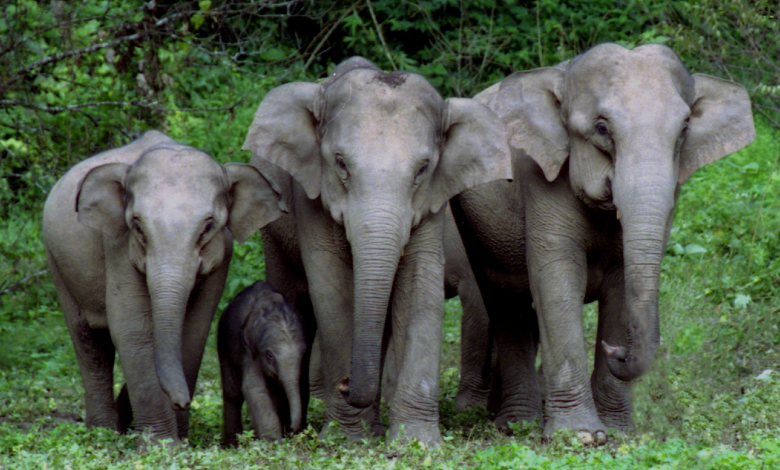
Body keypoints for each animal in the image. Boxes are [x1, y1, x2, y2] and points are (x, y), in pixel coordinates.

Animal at [42, 130, 286, 442]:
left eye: (208, 226)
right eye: (137, 225)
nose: (182, 401)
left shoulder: (222, 256)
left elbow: (193, 331)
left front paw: (178, 439)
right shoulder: (118, 246)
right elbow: (133, 329)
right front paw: (161, 444)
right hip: (57, 262)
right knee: (89, 342)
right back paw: (103, 433)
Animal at [219, 280, 308, 446]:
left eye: (303, 353)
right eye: (269, 355)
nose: (292, 428)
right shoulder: (248, 350)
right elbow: (254, 388)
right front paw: (273, 445)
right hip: (223, 343)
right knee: (232, 393)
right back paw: (233, 445)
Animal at [242, 57, 512, 444]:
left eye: (422, 168)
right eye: (340, 163)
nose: (346, 384)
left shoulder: (433, 202)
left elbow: (419, 284)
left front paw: (415, 439)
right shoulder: (311, 194)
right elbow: (332, 288)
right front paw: (346, 438)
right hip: (273, 232)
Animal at [450, 44, 756, 444]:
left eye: (685, 129)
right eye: (601, 129)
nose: (618, 351)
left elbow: (622, 287)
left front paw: (618, 433)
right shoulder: (539, 178)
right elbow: (558, 285)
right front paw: (579, 436)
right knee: (506, 303)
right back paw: (518, 425)